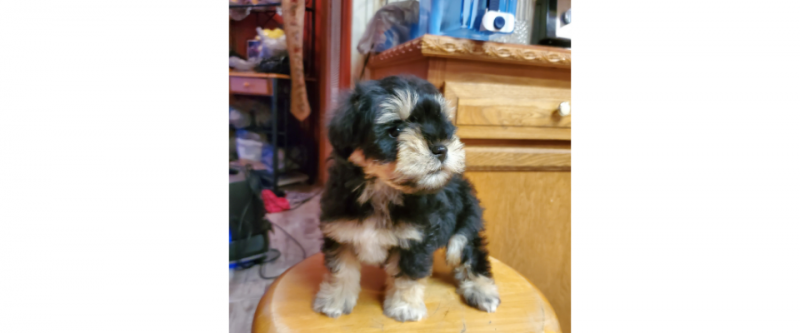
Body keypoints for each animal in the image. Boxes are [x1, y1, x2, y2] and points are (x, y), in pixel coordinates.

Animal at [314, 76, 496, 322]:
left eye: (444, 123)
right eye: (396, 129)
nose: (441, 148)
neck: (382, 190)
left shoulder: (416, 239)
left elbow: (408, 276)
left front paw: (404, 307)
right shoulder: (341, 232)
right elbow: (341, 269)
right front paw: (336, 300)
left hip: (466, 221)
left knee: (468, 252)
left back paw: (482, 290)